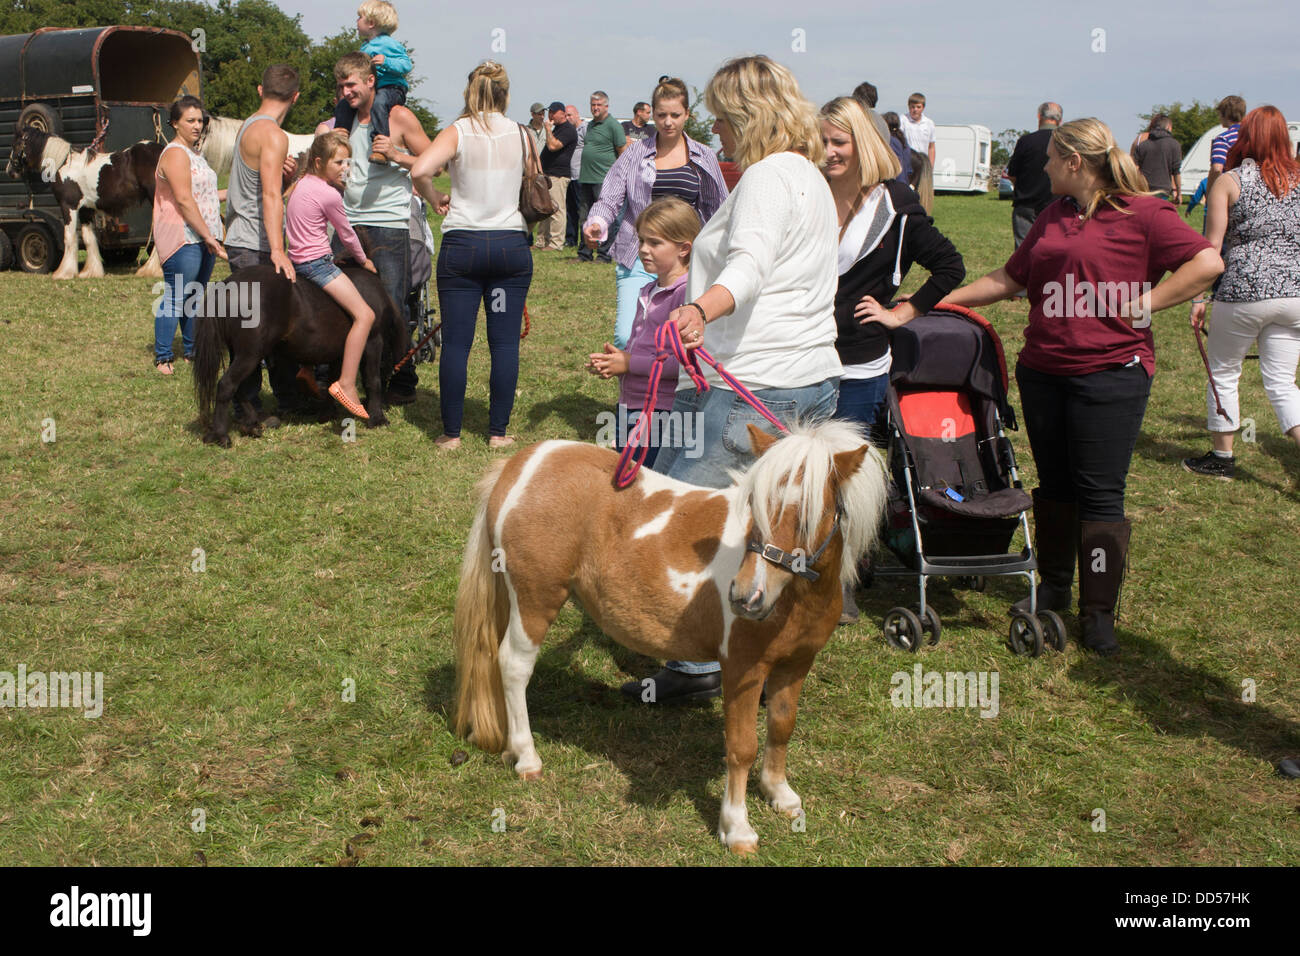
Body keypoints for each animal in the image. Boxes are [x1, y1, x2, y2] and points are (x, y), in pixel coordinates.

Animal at [3, 125, 165, 278]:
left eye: (15, 144)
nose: (9, 170)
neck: (64, 164)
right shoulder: (85, 210)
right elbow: (89, 239)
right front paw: (90, 272)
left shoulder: (68, 206)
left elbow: (69, 237)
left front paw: (64, 273)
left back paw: (150, 269)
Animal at [191, 264, 405, 447]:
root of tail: (228, 285)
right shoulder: (373, 341)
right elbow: (372, 380)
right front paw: (377, 418)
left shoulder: (340, 354)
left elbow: (333, 381)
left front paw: (328, 413)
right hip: (250, 354)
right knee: (227, 385)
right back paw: (221, 435)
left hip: (242, 354)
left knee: (240, 388)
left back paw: (251, 423)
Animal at [452, 418, 889, 853]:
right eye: (755, 507)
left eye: (810, 516)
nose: (745, 597)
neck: (793, 600)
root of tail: (521, 465)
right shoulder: (743, 669)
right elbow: (741, 747)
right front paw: (737, 828)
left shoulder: (796, 664)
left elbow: (782, 727)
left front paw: (779, 794)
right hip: (535, 600)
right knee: (513, 667)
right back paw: (527, 757)